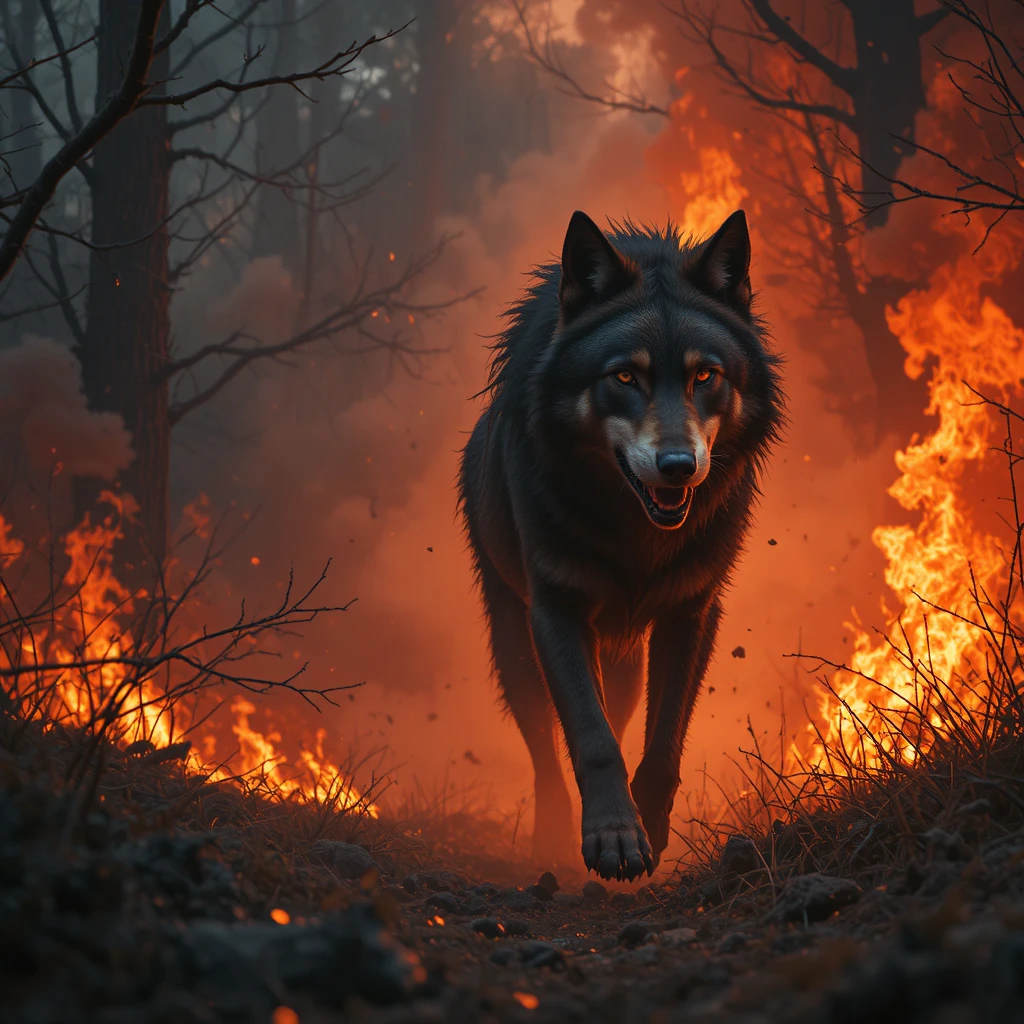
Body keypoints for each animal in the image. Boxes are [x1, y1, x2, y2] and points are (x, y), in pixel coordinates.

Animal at [458, 210, 784, 880]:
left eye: (705, 375)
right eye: (625, 377)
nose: (678, 466)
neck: (638, 535)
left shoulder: (691, 613)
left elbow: (661, 745)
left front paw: (647, 828)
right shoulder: (555, 612)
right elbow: (593, 737)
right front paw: (612, 837)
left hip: (625, 657)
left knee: (622, 708)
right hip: (513, 643)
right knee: (546, 751)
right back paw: (551, 841)